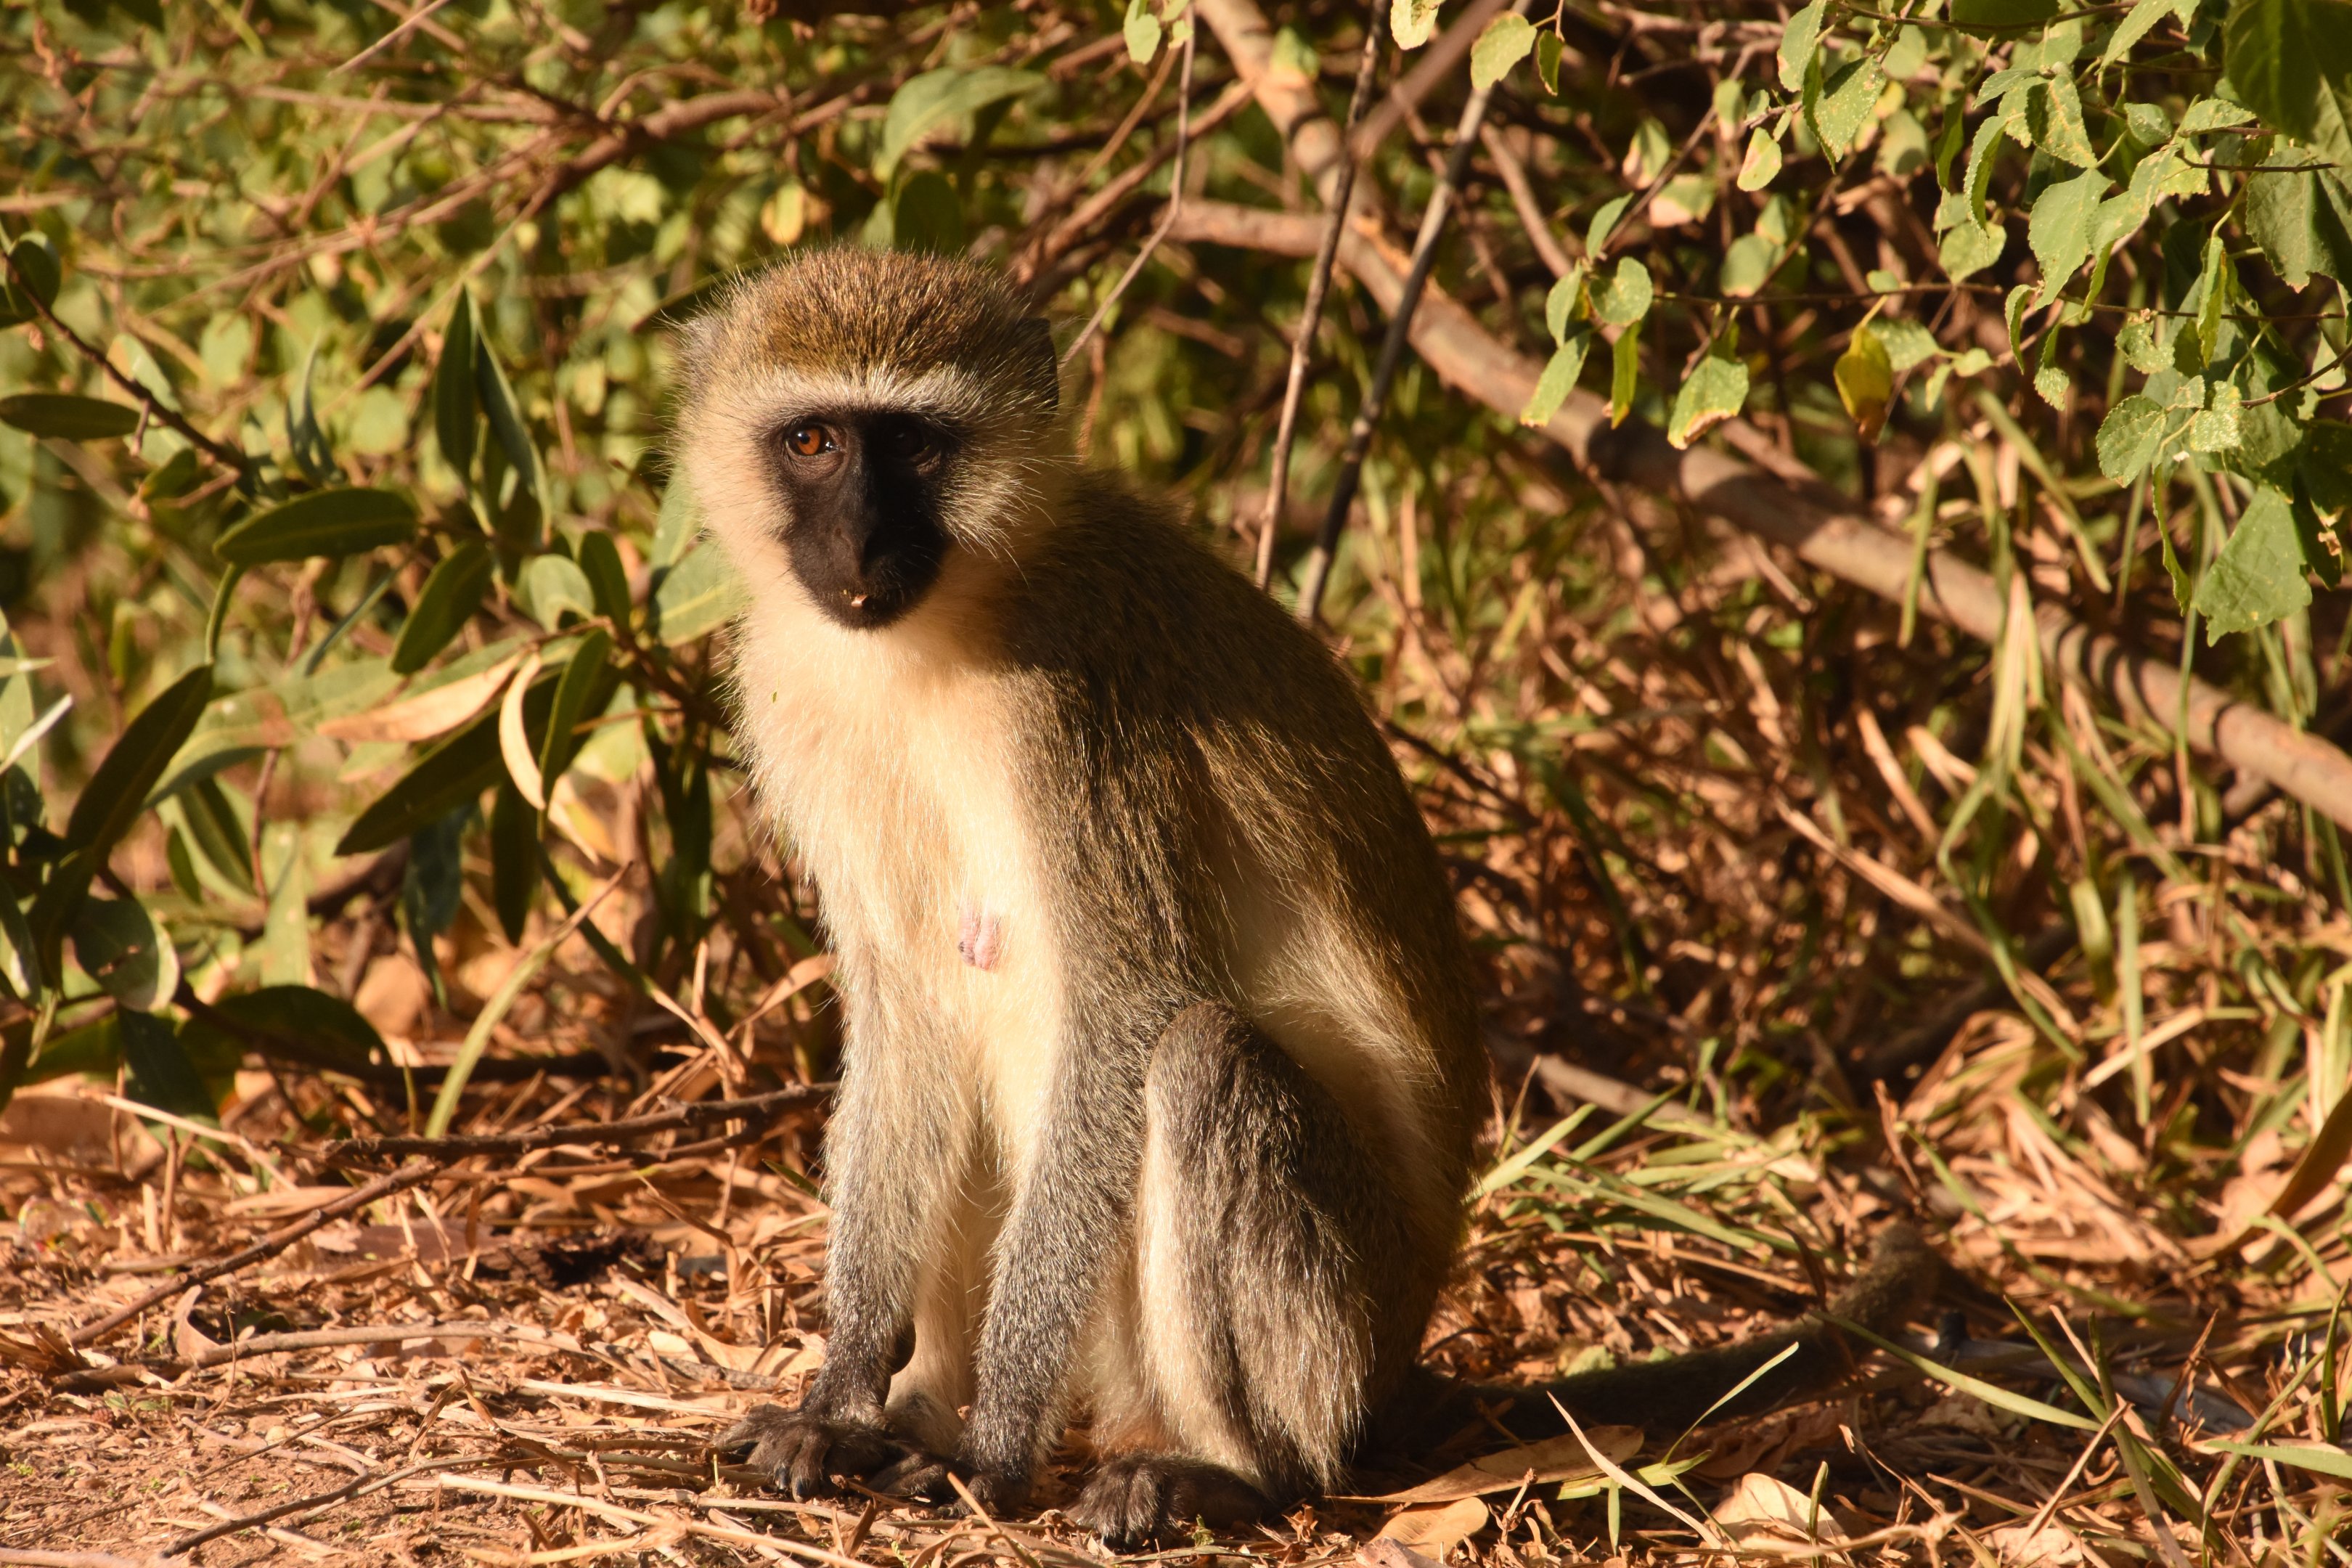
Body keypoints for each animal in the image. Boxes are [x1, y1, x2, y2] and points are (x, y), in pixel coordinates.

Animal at [670, 247, 1937, 1549]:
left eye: (917, 448)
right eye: (814, 440)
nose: (861, 544)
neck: (935, 633)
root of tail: (1398, 1357)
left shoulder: (1078, 710)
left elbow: (1126, 1010)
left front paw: (998, 1441)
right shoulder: (794, 700)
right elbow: (908, 1010)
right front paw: (842, 1398)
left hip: (1337, 1317)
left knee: (1202, 1065)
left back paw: (1232, 1472)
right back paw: (917, 1407)